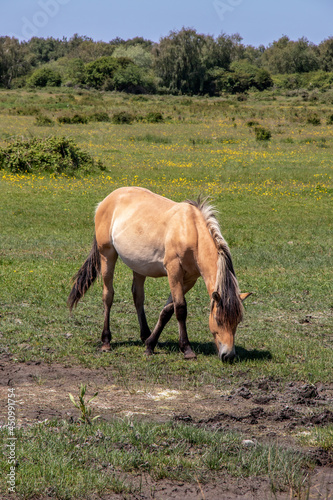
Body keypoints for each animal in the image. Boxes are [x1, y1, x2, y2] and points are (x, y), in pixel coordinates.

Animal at [67, 186, 249, 362]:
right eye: (218, 319)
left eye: (238, 321)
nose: (228, 355)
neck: (191, 231)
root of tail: (105, 201)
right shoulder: (173, 271)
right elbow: (180, 308)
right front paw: (187, 349)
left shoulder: (189, 279)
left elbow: (168, 310)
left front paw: (150, 344)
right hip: (107, 255)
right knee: (108, 295)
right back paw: (106, 341)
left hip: (138, 265)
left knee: (138, 296)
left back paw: (144, 335)